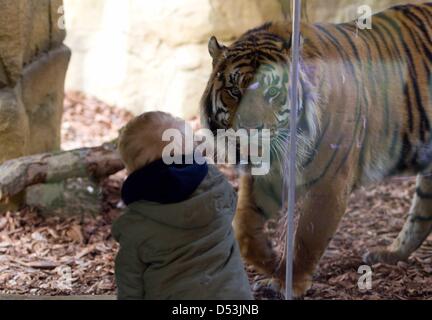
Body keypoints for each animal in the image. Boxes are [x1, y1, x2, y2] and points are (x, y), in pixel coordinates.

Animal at [199, 3, 432, 298]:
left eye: (272, 92)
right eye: (234, 91)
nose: (251, 129)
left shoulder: (330, 183)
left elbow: (308, 237)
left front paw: (290, 281)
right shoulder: (264, 178)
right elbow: (244, 230)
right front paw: (273, 265)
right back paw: (387, 254)